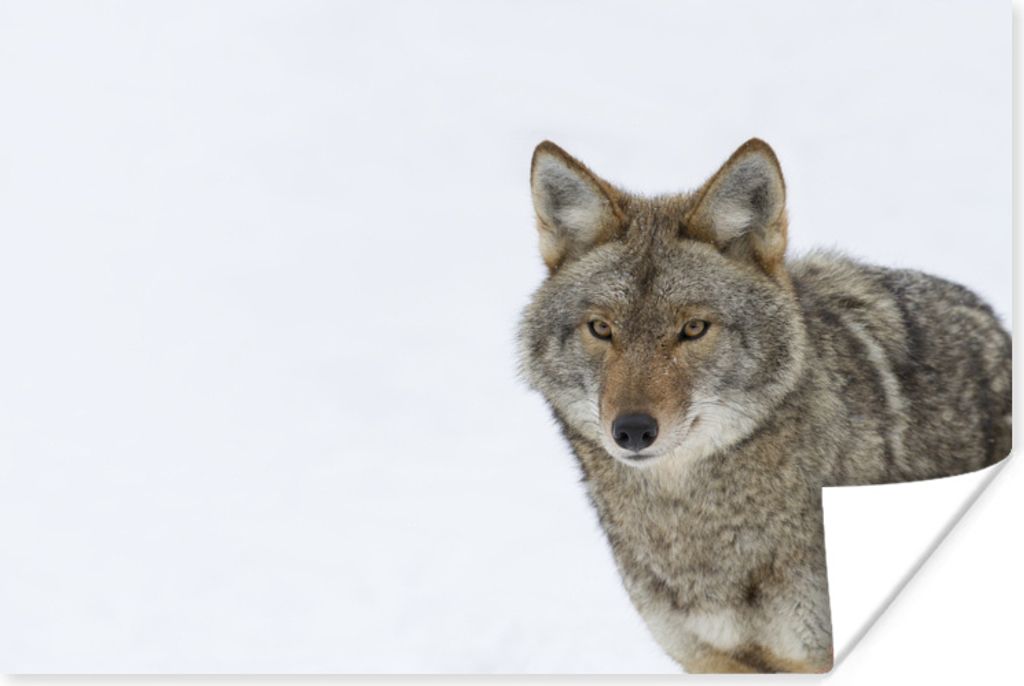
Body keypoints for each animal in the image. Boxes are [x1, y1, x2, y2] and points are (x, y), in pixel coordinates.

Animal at [518, 138, 1011, 673]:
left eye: (693, 329)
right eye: (601, 329)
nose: (631, 431)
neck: (694, 526)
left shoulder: (815, 656)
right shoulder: (709, 660)